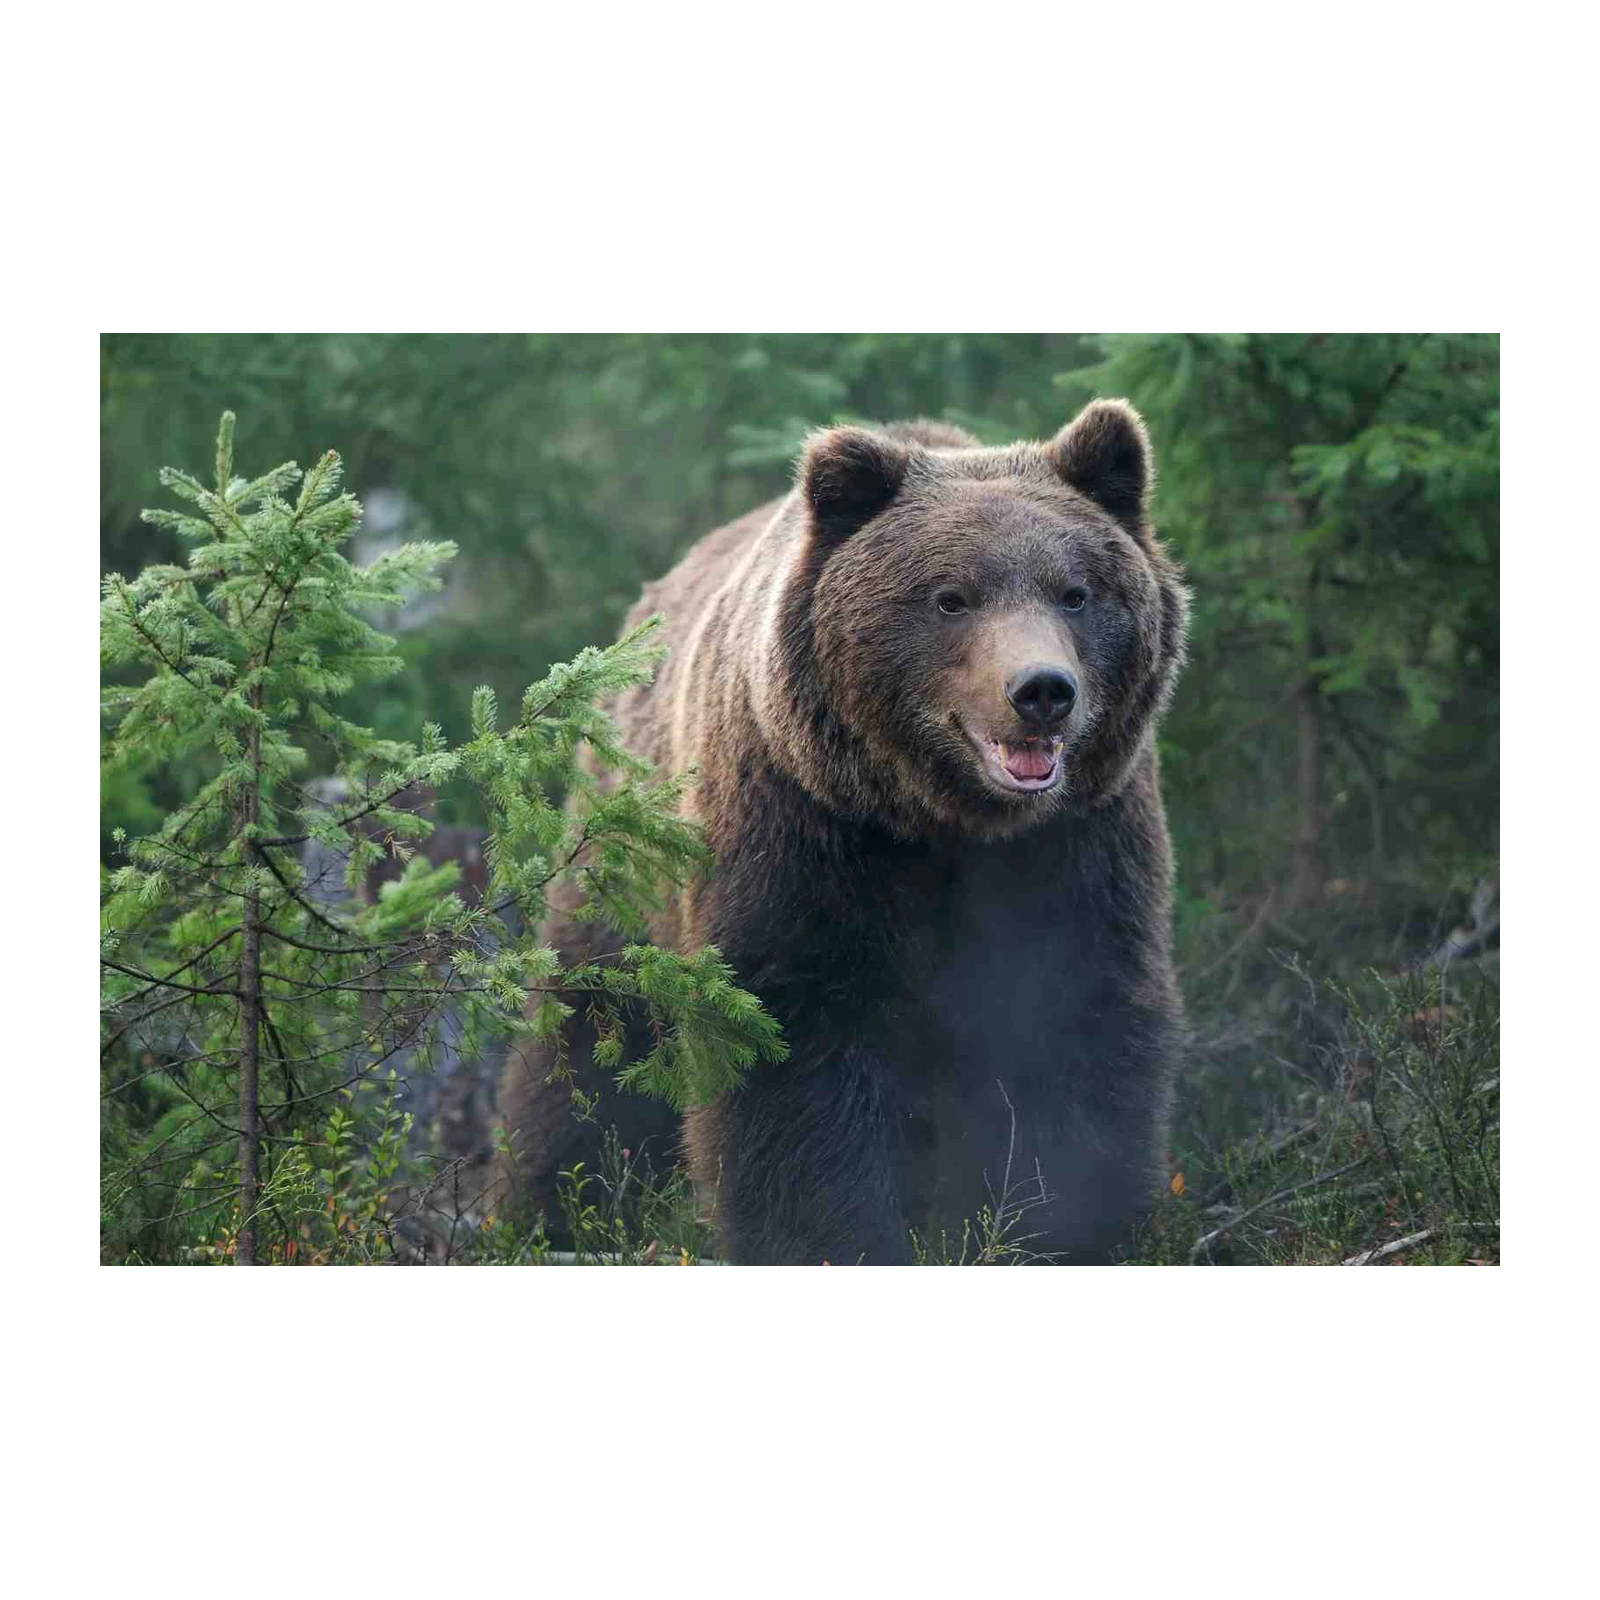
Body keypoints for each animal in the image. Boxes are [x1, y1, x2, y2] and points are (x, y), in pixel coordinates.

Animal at [494, 399, 1190, 1268]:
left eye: (1076, 593)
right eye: (951, 597)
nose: (1041, 691)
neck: (947, 820)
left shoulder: (1078, 841)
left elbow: (1076, 1018)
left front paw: (1064, 1229)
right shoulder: (804, 830)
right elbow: (795, 1045)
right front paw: (831, 1240)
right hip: (625, 861)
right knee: (587, 1034)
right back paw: (548, 1209)